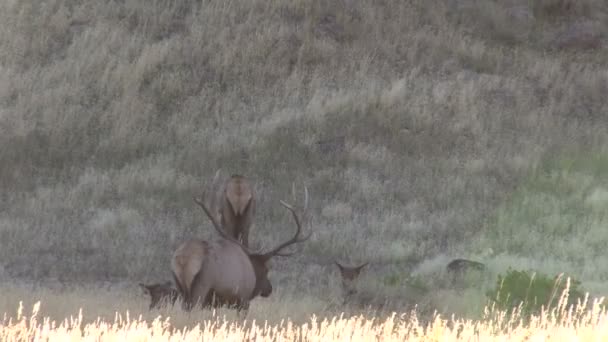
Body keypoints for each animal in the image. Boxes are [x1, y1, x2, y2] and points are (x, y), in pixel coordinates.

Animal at [172, 184, 312, 312]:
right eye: (267, 269)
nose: (269, 289)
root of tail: (184, 259)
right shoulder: (243, 299)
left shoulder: (214, 304)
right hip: (201, 286)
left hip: (181, 288)